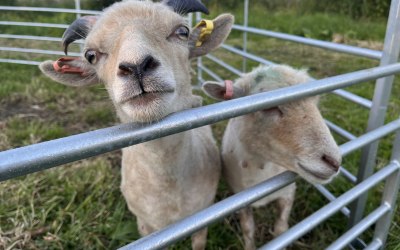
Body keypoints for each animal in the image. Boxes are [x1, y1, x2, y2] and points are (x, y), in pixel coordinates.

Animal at [39, 0, 233, 249]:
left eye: (182, 31)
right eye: (90, 55)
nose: (136, 66)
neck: (168, 187)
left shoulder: (202, 218)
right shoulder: (145, 225)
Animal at [202, 65, 342, 250]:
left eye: (315, 102)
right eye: (268, 106)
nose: (334, 162)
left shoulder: (288, 193)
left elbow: (281, 230)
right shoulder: (239, 199)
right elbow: (248, 230)